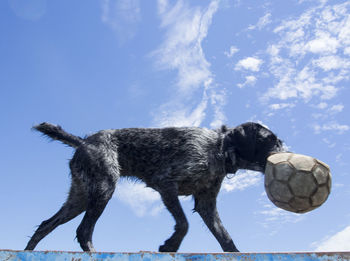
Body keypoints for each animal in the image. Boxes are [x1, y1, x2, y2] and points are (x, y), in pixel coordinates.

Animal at [26, 122, 284, 252]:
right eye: (271, 140)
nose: (286, 151)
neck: (218, 148)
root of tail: (83, 142)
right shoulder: (165, 183)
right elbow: (184, 224)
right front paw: (170, 245)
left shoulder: (206, 205)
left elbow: (226, 239)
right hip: (103, 190)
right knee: (83, 231)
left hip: (79, 198)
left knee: (45, 225)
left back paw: (28, 251)